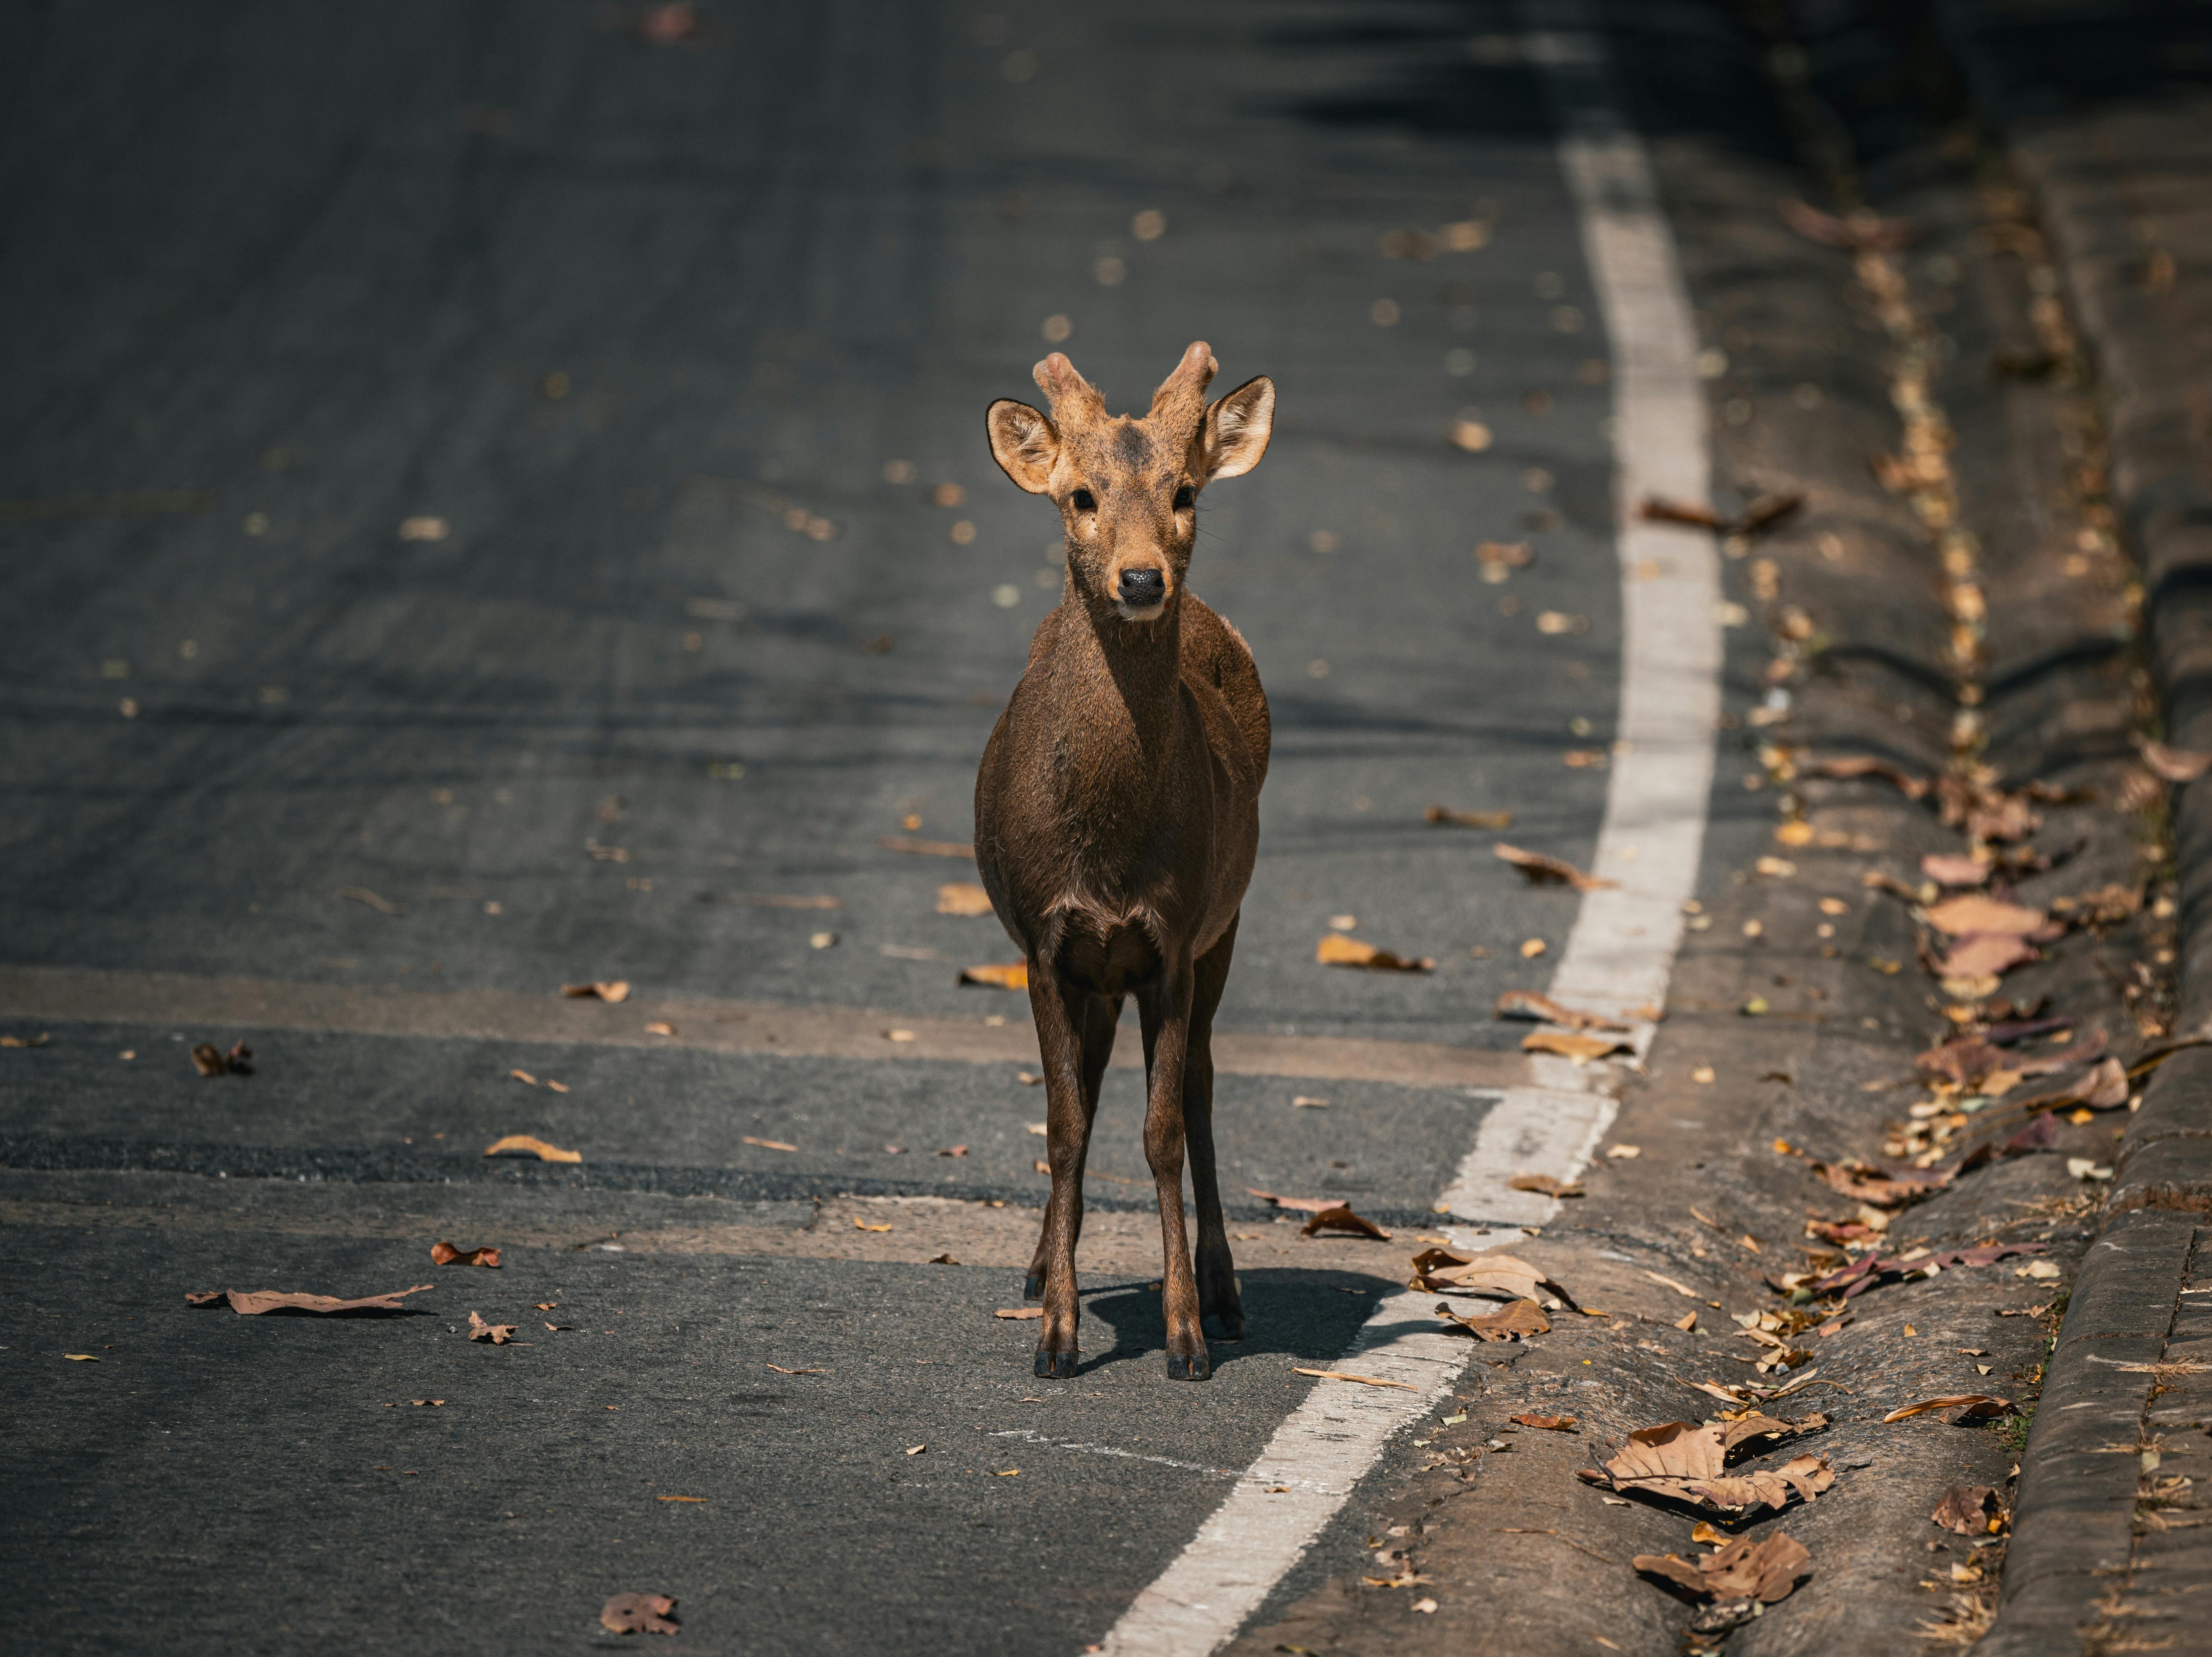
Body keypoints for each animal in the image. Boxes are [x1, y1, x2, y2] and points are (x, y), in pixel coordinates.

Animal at [974, 341, 1275, 1381]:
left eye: (1184, 492)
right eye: (1081, 497)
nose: (1141, 580)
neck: (1104, 853)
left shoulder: (1175, 938)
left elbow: (1163, 1132)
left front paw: (1185, 1334)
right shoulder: (1045, 942)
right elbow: (1065, 1129)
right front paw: (1057, 1334)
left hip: (1225, 926)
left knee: (1202, 1091)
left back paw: (1225, 1291)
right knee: (1096, 1084)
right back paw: (1037, 1267)